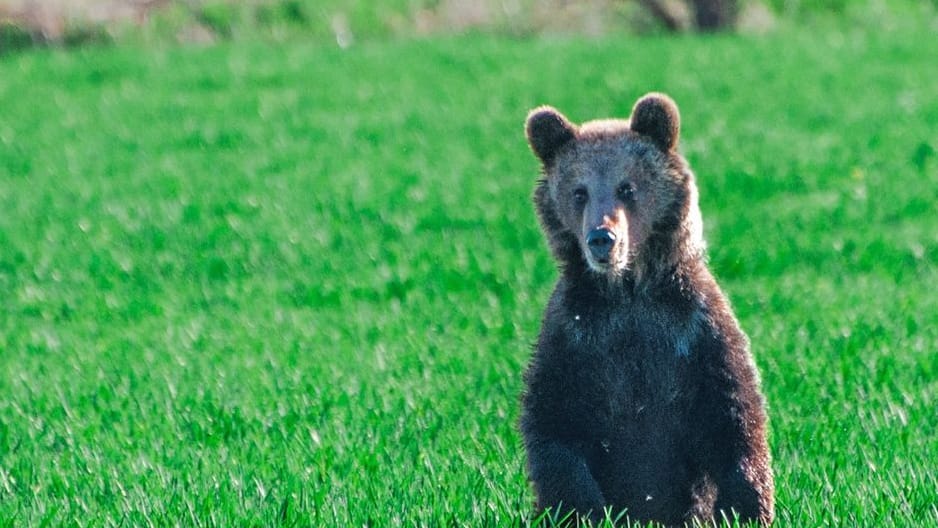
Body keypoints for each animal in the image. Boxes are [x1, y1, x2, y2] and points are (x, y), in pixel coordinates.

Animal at [520, 93, 776, 524]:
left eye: (627, 187)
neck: (628, 291)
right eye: (579, 191)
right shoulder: (575, 335)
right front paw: (584, 510)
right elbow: (555, 423)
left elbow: (734, 414)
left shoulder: (694, 329)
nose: (602, 239)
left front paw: (745, 509)